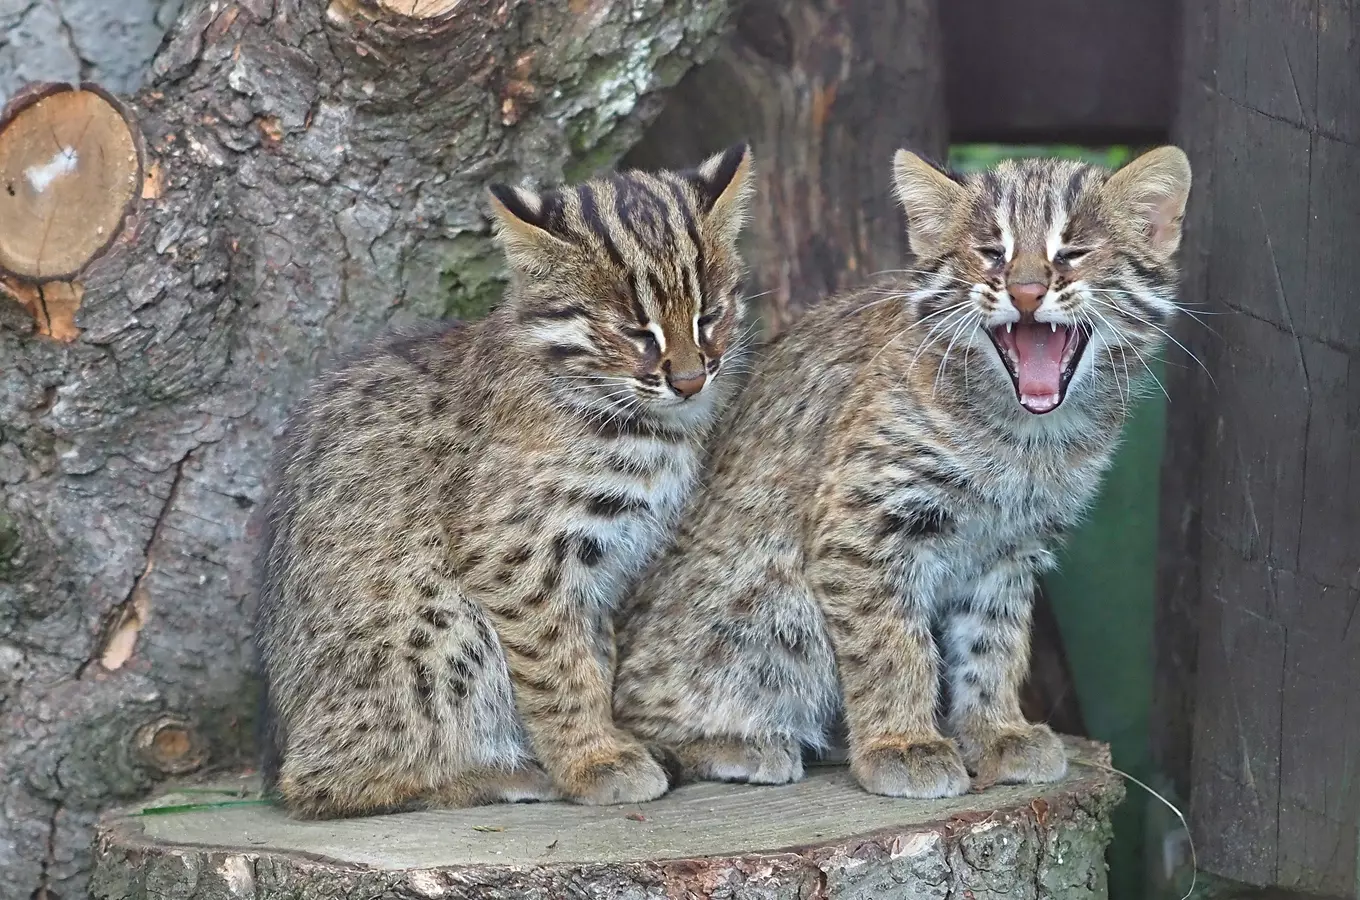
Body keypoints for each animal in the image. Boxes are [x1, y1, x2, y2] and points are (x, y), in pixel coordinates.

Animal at [257, 144, 756, 821]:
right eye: (635, 331)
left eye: (710, 316)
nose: (689, 381)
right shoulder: (517, 558)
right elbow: (558, 669)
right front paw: (596, 762)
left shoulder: (604, 571)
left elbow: (595, 658)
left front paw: (609, 743)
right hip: (441, 616)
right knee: (316, 784)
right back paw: (497, 774)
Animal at [617, 149, 1191, 804]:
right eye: (990, 252)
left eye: (1072, 252)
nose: (1025, 292)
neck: (1027, 438)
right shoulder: (867, 526)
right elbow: (892, 641)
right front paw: (903, 744)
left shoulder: (1014, 546)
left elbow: (993, 642)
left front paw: (995, 730)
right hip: (775, 605)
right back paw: (731, 743)